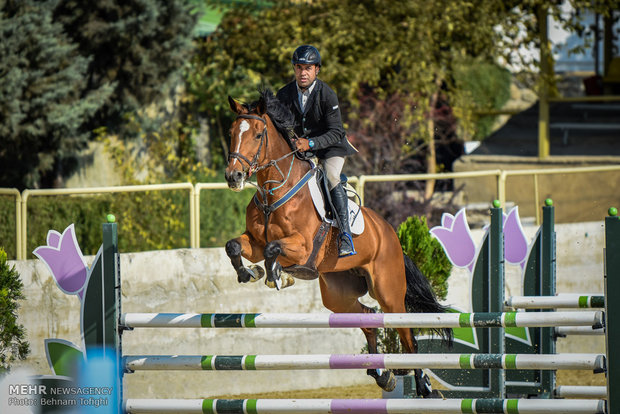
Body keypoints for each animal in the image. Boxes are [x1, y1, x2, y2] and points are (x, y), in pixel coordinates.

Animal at [223, 89, 450, 396]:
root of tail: (389, 232)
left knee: (408, 337)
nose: (233, 176)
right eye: (232, 132)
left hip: (389, 293)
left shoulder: (303, 247)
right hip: (338, 293)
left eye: (258, 135)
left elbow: (274, 249)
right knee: (368, 318)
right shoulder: (255, 242)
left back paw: (424, 387)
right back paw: (382, 375)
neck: (274, 191)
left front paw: (277, 276)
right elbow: (234, 246)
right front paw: (251, 272)